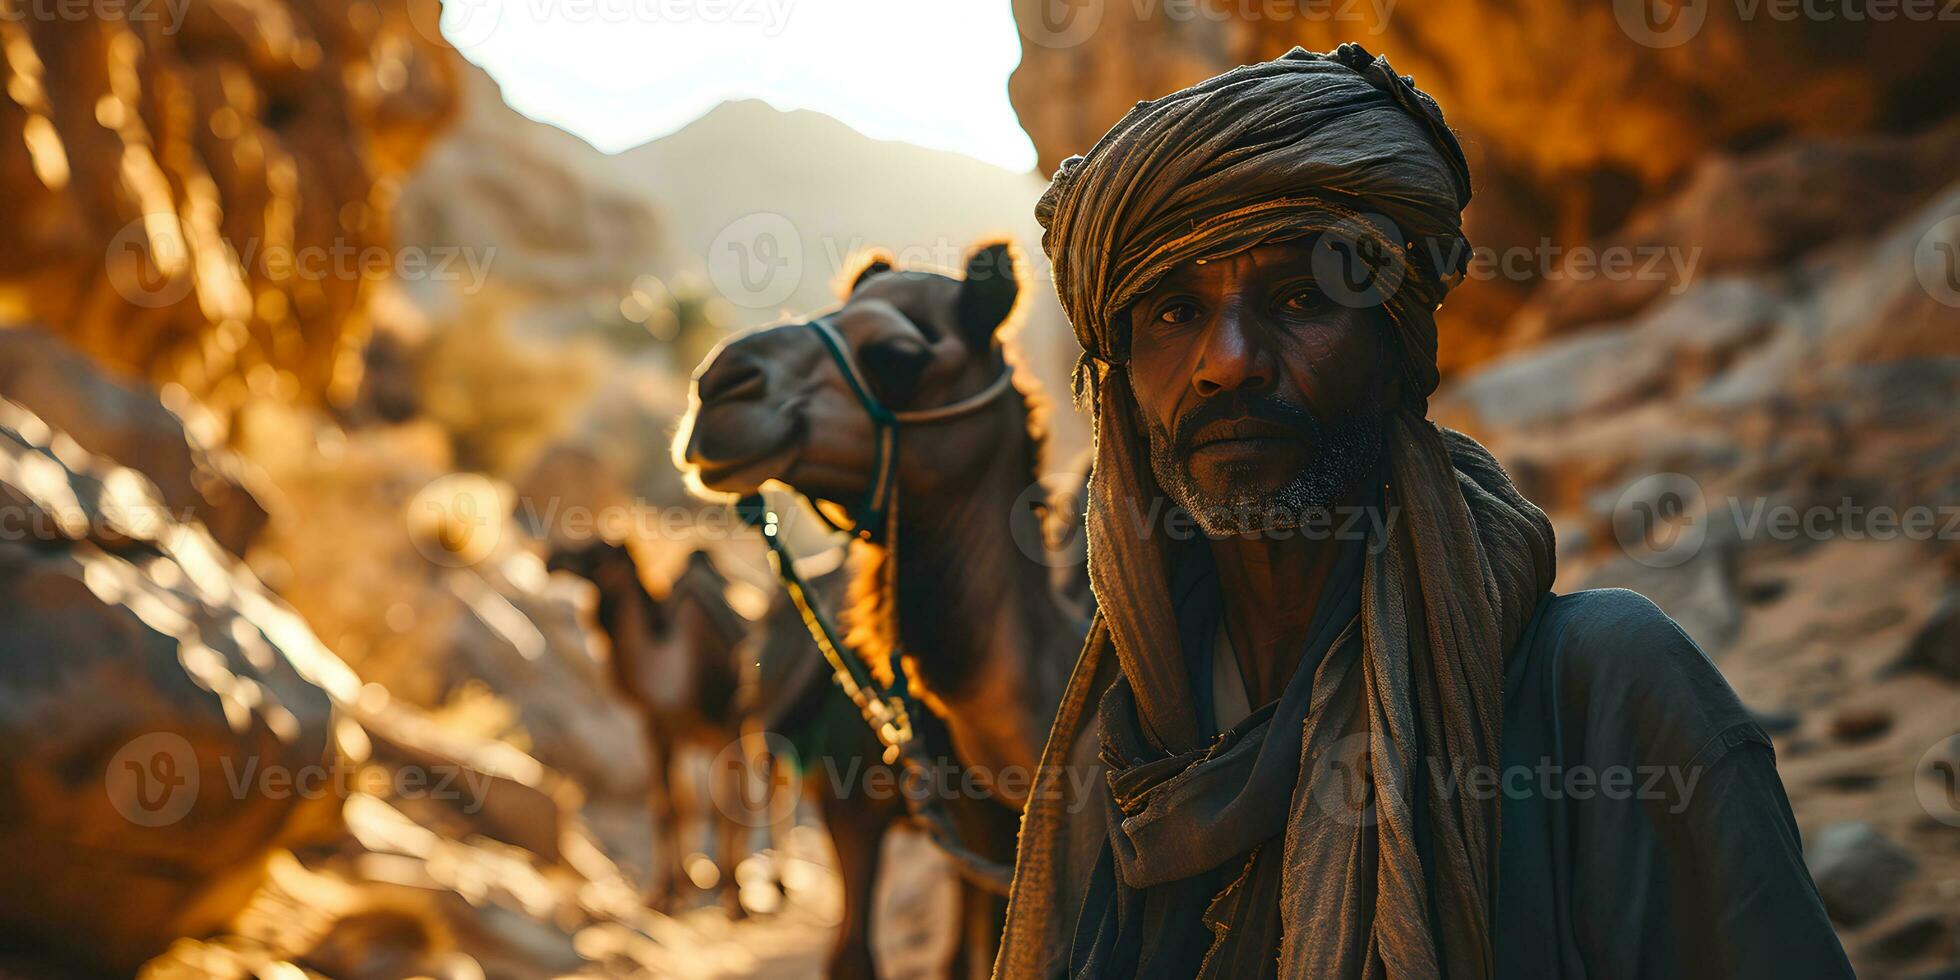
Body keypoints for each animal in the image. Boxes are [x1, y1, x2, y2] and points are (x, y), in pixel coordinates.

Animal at [552, 540, 764, 913]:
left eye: (595, 552)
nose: (552, 557)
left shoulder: (722, 725)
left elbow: (724, 806)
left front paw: (730, 899)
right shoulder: (657, 727)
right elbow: (669, 807)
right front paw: (666, 894)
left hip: (741, 727)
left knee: (744, 800)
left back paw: (737, 888)